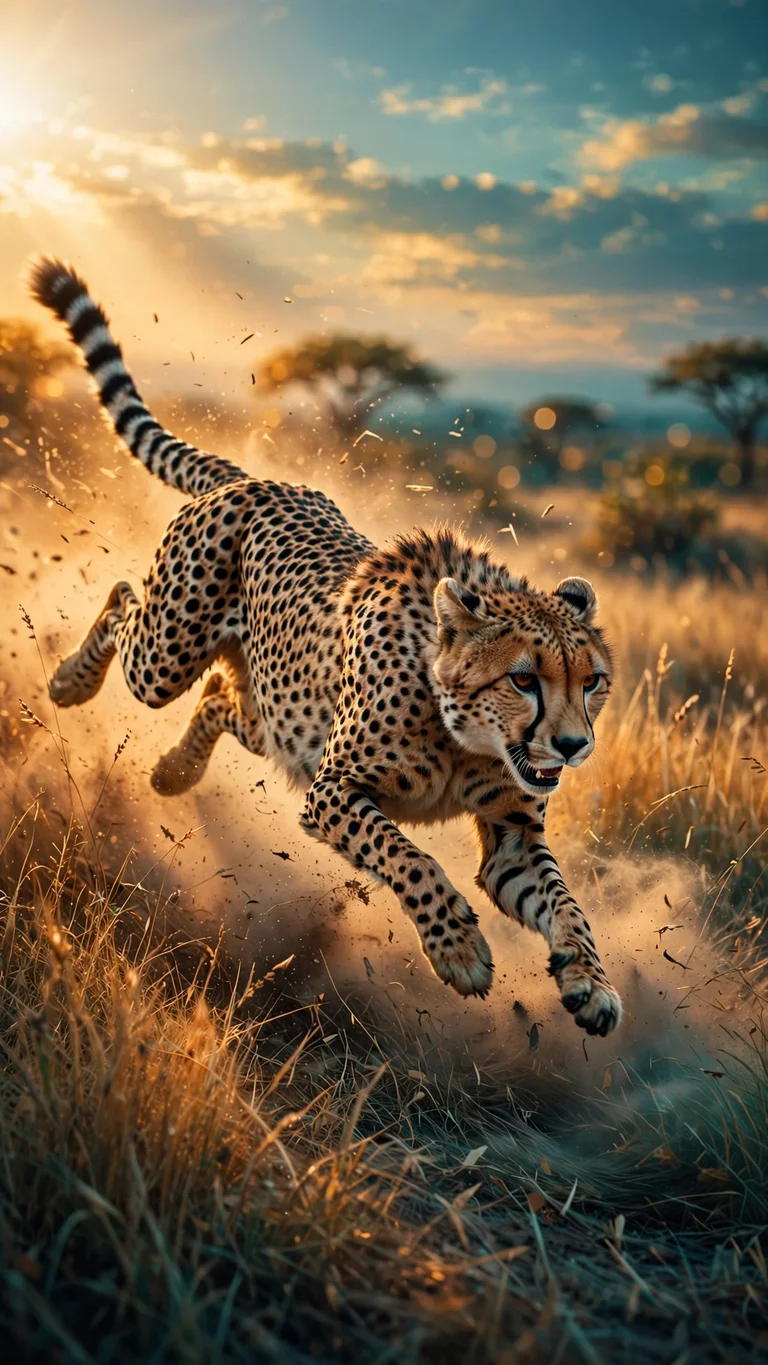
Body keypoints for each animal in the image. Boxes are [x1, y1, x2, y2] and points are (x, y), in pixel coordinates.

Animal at [30, 256, 622, 1037]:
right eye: (524, 678)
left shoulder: (511, 836)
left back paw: (173, 773)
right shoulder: (332, 790)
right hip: (166, 655)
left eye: (592, 682)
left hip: (281, 717)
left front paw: (591, 981)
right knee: (127, 602)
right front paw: (458, 949)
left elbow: (566, 904)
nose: (574, 745)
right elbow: (409, 857)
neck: (463, 733)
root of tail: (258, 479)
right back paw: (70, 681)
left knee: (218, 696)